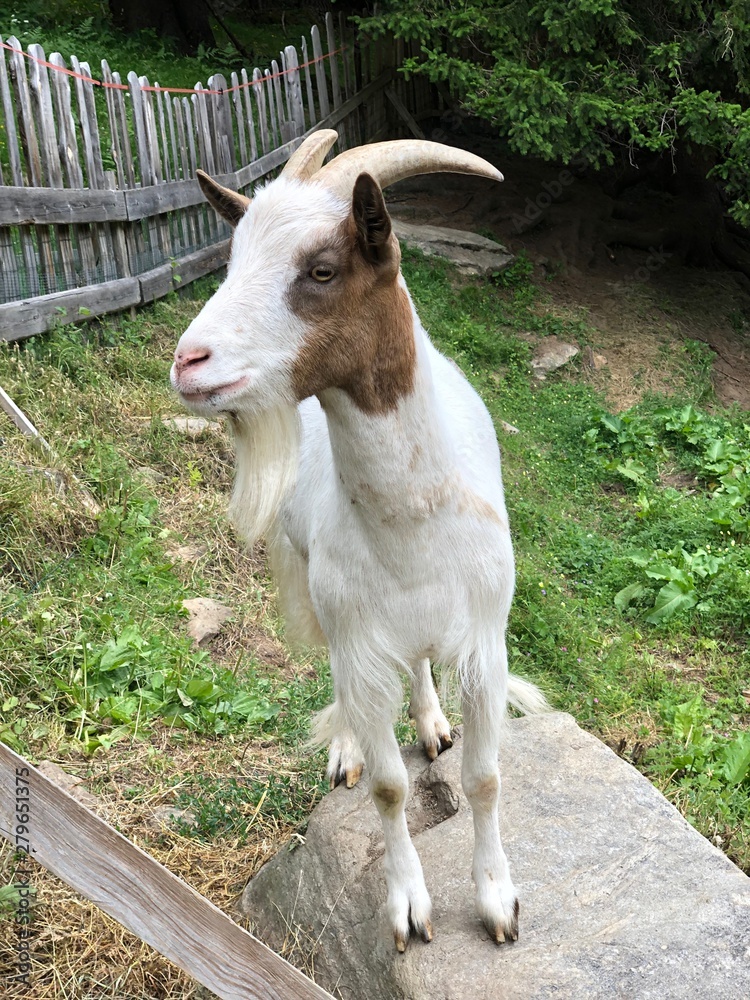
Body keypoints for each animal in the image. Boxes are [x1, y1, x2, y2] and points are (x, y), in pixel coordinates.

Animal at [171, 131, 547, 951]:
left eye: (321, 268)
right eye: (233, 258)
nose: (188, 362)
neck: (414, 530)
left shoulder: (485, 637)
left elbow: (483, 777)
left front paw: (498, 903)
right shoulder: (359, 643)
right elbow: (387, 785)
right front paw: (407, 908)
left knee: (423, 668)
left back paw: (432, 721)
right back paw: (347, 739)